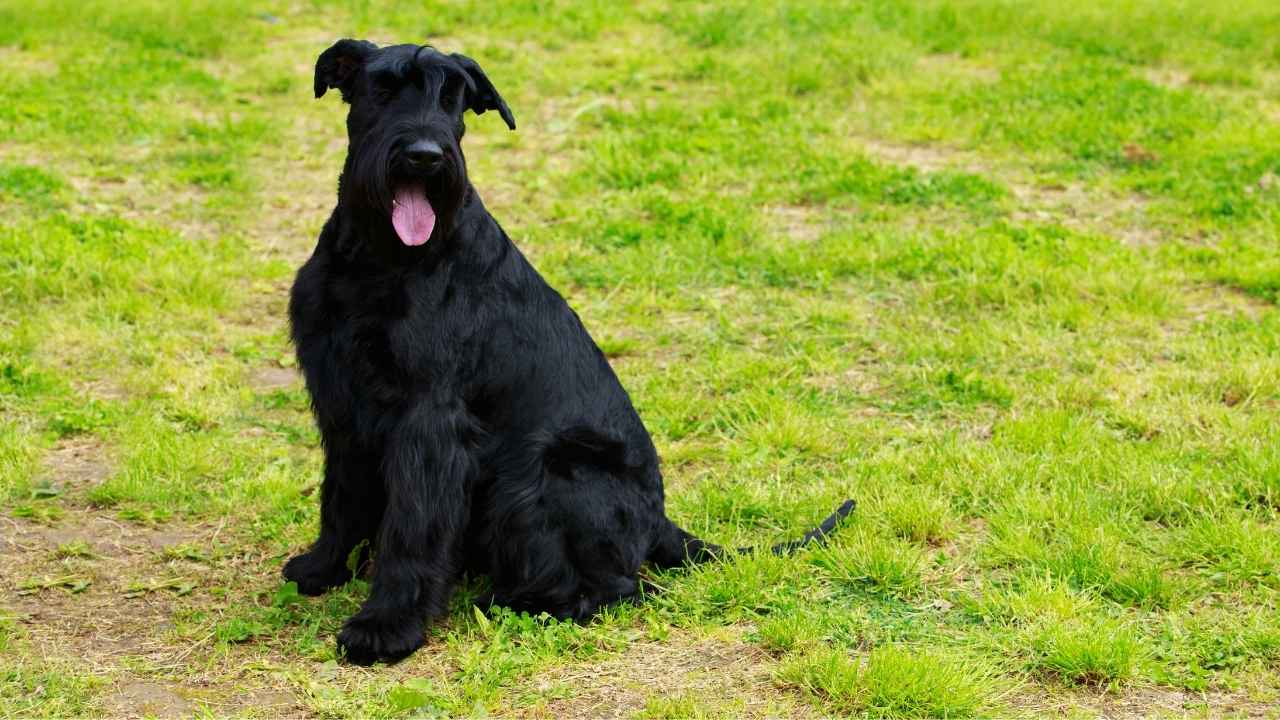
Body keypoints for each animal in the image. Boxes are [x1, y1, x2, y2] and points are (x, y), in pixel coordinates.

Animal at [285, 40, 855, 661]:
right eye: (384, 89)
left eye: (452, 96)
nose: (426, 158)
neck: (380, 255)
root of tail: (660, 523)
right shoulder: (341, 401)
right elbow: (340, 495)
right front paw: (322, 567)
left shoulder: (428, 420)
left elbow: (412, 527)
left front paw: (386, 625)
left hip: (550, 473)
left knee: (619, 588)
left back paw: (515, 602)